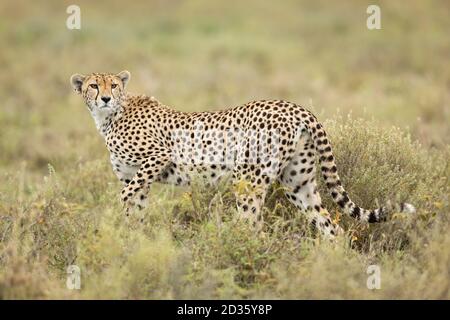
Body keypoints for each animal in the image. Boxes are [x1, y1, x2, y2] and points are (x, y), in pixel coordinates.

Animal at [69, 72, 414, 238]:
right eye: (92, 85)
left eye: (114, 85)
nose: (105, 98)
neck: (110, 116)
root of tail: (294, 106)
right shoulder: (137, 178)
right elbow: (135, 209)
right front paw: (135, 242)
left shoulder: (157, 157)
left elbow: (124, 196)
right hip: (298, 183)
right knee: (332, 229)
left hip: (248, 180)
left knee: (253, 227)